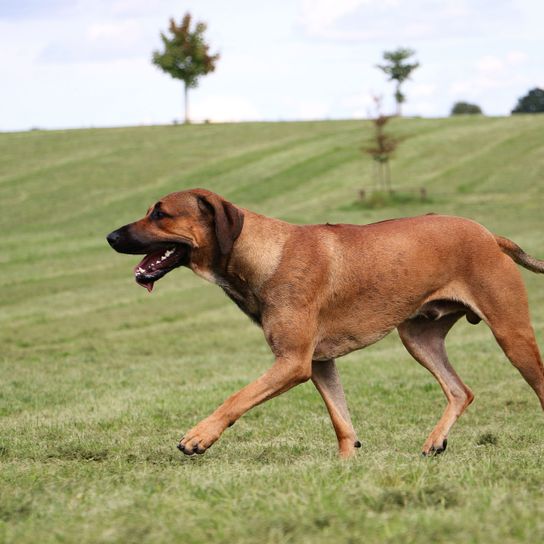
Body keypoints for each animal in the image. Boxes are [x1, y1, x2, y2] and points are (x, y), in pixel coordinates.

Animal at [107, 189, 544, 456]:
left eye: (160, 214)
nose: (110, 236)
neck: (263, 254)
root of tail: (490, 235)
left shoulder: (293, 362)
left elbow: (237, 397)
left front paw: (200, 435)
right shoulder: (319, 363)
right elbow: (341, 421)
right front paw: (346, 465)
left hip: (511, 332)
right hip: (419, 337)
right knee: (460, 391)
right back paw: (435, 441)